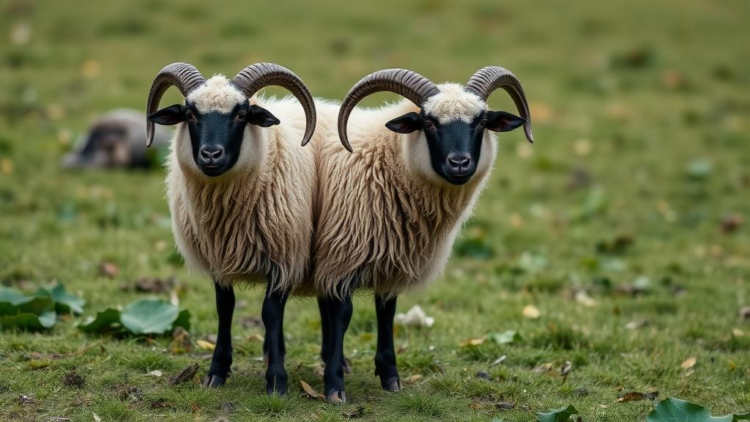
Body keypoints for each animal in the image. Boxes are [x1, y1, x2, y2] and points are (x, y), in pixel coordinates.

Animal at [146, 61, 344, 395]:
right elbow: (225, 307)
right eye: (190, 115)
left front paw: (276, 381)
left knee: (326, 302)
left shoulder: (283, 253)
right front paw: (217, 371)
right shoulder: (217, 255)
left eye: (241, 115)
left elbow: (271, 312)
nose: (211, 154)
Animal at [312, 67, 534, 402]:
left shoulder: (387, 255)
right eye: (429, 123)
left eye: (480, 122)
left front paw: (390, 377)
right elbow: (341, 313)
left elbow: (386, 311)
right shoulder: (343, 252)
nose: (460, 163)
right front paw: (335, 388)